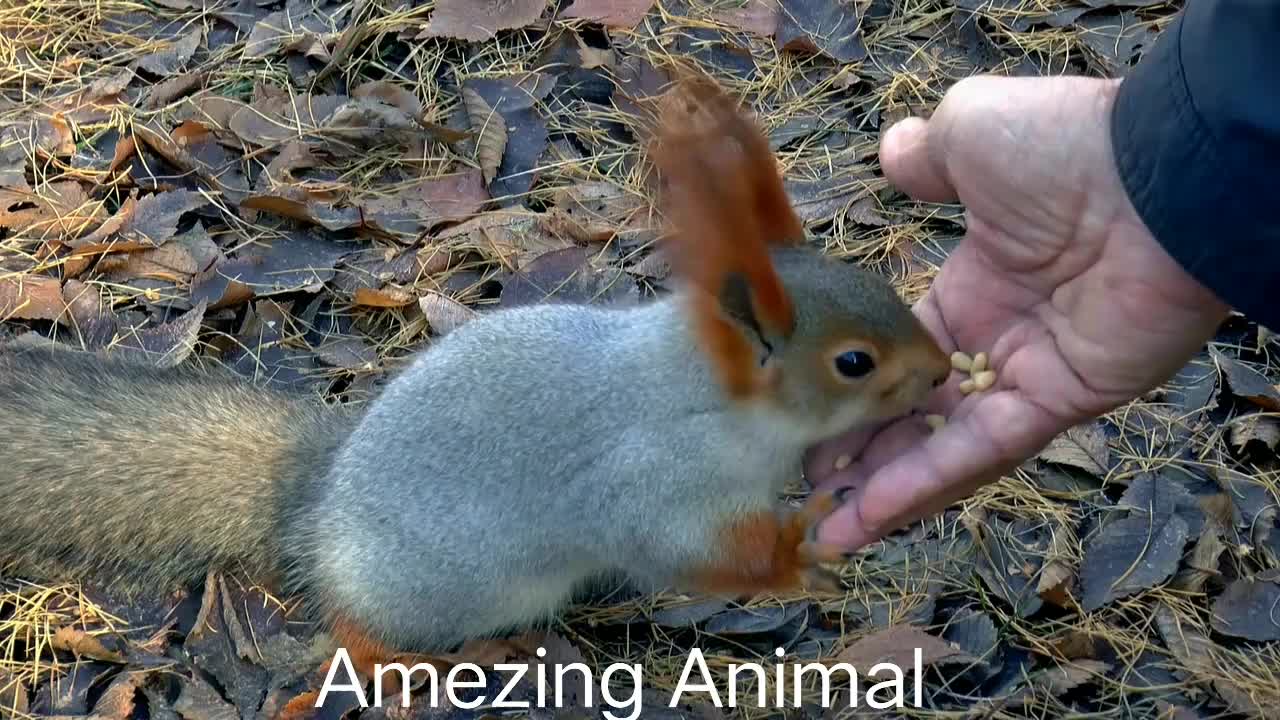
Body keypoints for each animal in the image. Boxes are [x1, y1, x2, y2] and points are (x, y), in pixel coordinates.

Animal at [0, 75, 952, 676]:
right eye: (854, 363)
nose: (944, 372)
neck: (708, 399)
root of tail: (317, 506)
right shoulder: (648, 481)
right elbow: (682, 552)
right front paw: (797, 553)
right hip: (438, 588)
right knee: (355, 631)